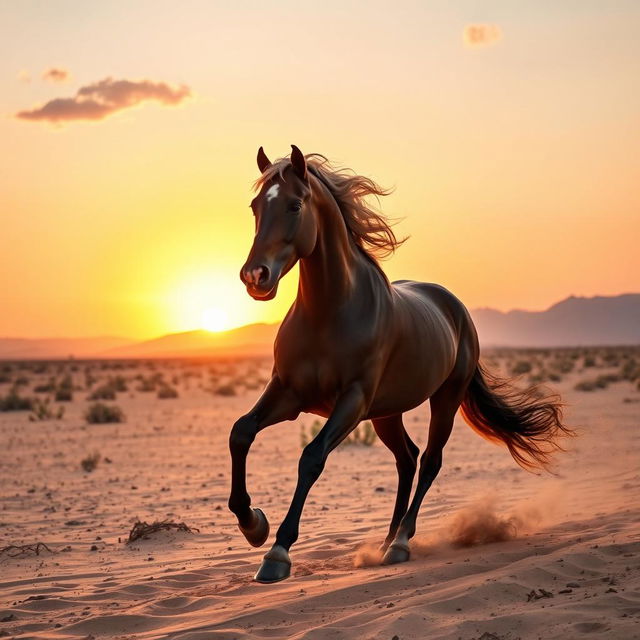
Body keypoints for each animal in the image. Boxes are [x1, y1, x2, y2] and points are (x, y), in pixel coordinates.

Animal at [228, 146, 568, 584]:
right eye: (256, 206)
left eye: (294, 205)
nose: (255, 276)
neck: (329, 314)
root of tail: (453, 305)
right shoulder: (288, 394)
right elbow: (241, 433)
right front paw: (253, 525)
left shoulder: (351, 401)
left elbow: (311, 458)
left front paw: (277, 553)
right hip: (386, 414)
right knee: (406, 459)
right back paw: (385, 542)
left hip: (443, 400)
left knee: (428, 461)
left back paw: (401, 543)